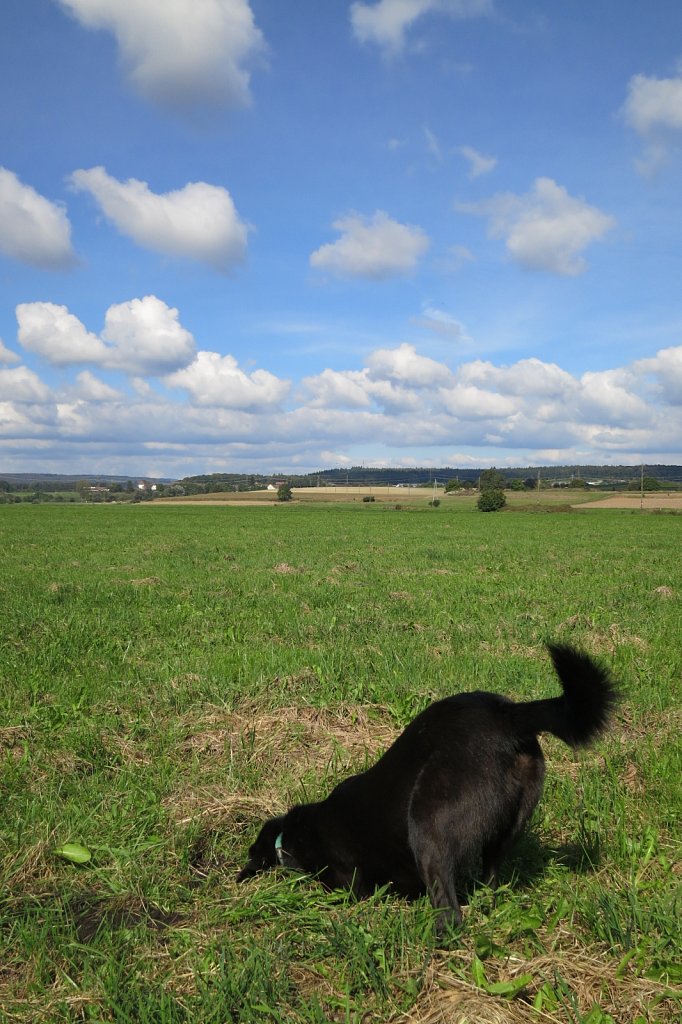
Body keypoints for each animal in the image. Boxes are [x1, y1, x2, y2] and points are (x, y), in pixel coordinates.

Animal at [238, 643, 614, 933]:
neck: (296, 834)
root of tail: (508, 715)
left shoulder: (349, 882)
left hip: (427, 825)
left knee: (449, 910)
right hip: (507, 831)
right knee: (490, 879)